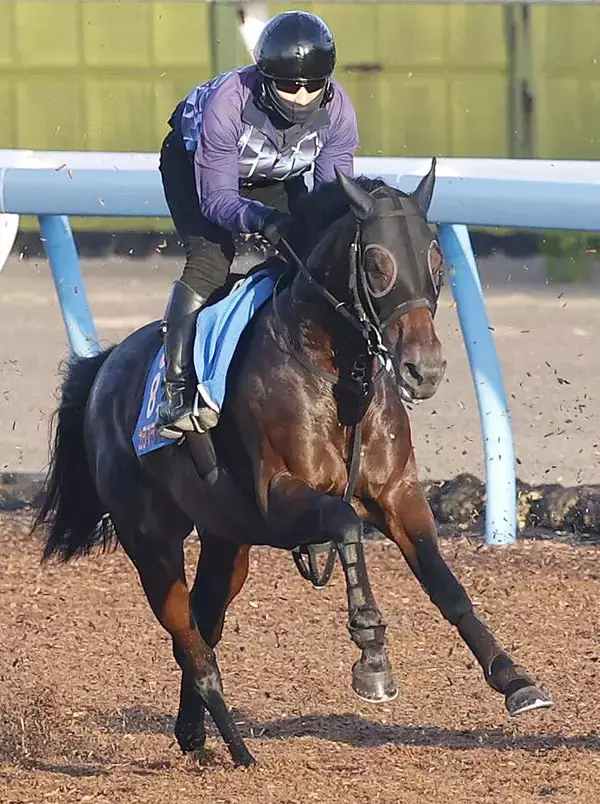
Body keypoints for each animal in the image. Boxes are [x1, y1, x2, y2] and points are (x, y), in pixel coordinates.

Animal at [32, 161, 552, 768]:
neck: (337, 378)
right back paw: (238, 750)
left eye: (436, 260)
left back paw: (194, 733)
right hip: (151, 543)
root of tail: (106, 366)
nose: (424, 370)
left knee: (204, 628)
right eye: (376, 263)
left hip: (226, 541)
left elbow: (444, 582)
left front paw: (515, 679)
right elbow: (346, 523)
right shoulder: (280, 498)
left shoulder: (397, 493)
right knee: (191, 645)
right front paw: (372, 656)